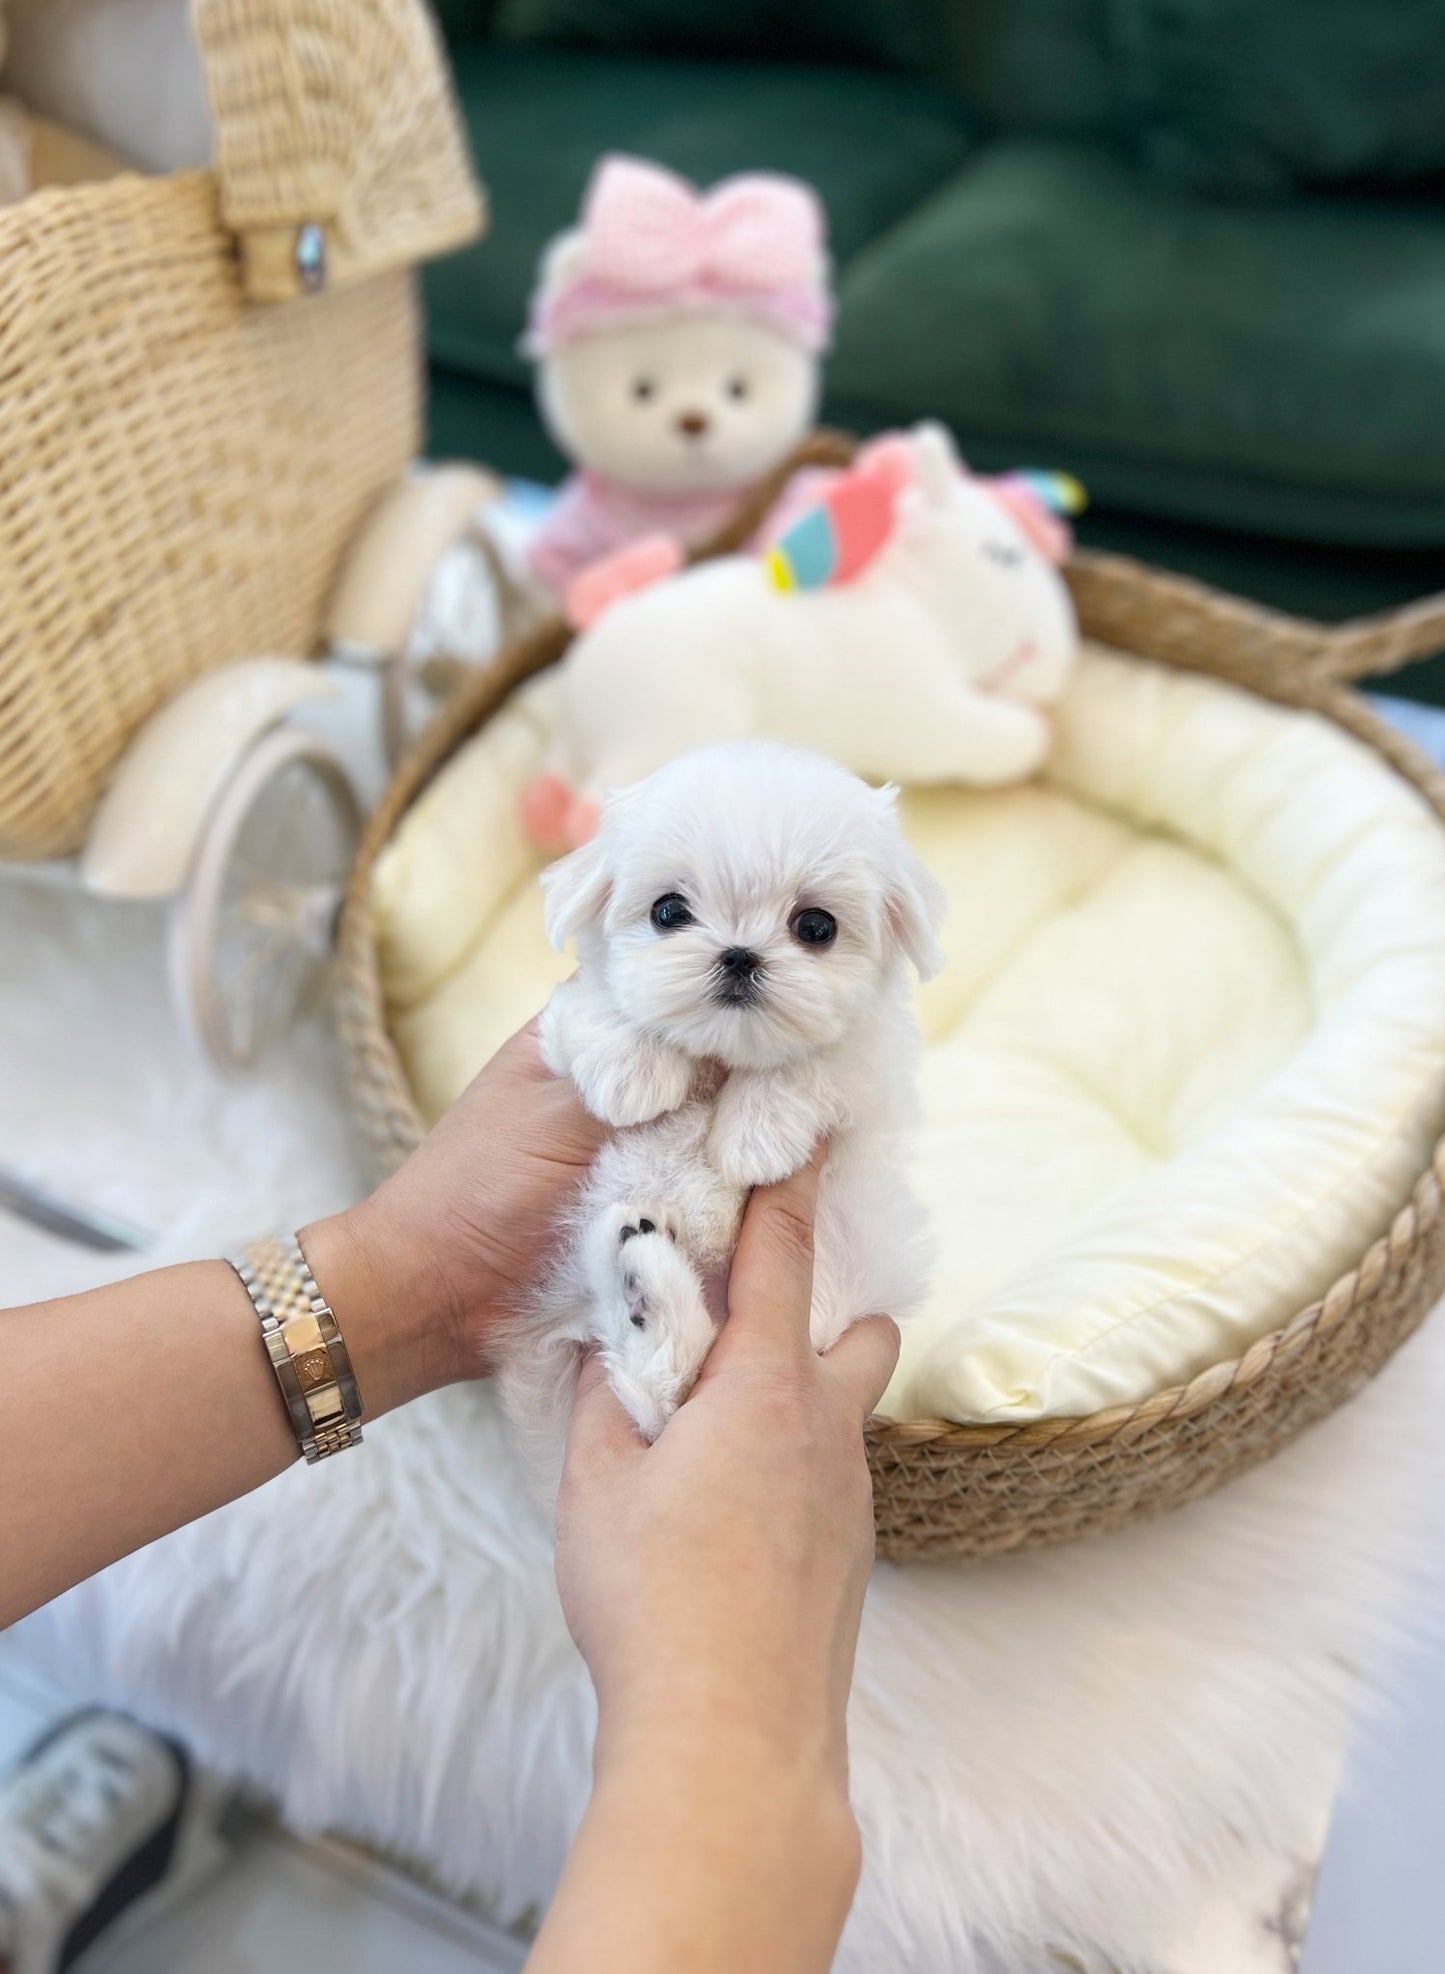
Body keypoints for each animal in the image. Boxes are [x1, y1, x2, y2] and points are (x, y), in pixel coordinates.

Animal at [499, 742, 947, 1484]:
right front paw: (635, 1070)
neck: (723, 1056)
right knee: (657, 1397)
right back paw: (642, 1281)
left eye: (816, 927)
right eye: (668, 912)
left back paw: (648, 1284)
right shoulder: (555, 1033)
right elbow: (599, 1008)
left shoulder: (871, 1066)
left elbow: (817, 1060)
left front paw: (752, 1136)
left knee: (671, 1395)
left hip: (831, 1295)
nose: (739, 955)